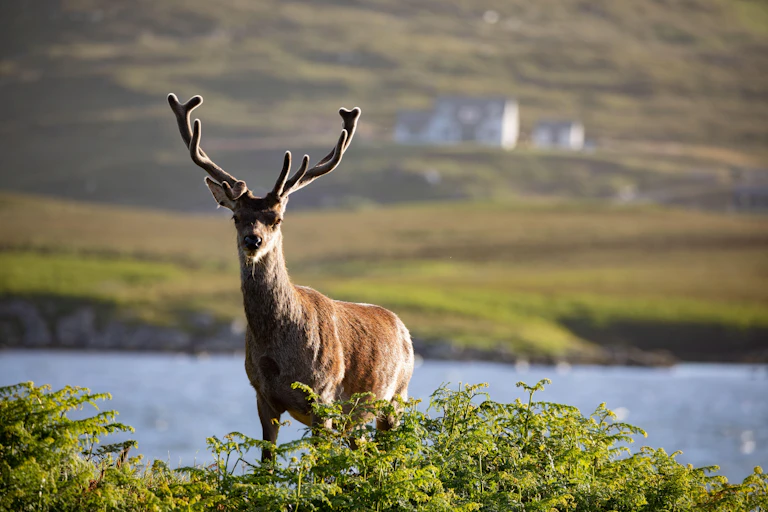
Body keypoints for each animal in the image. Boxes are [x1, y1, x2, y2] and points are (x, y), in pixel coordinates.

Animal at [167, 94, 414, 461]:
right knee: (367, 456)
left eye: (277, 218)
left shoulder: (323, 397)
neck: (278, 357)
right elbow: (266, 464)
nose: (252, 241)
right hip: (357, 420)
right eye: (236, 217)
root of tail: (403, 328)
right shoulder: (262, 397)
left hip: (396, 396)